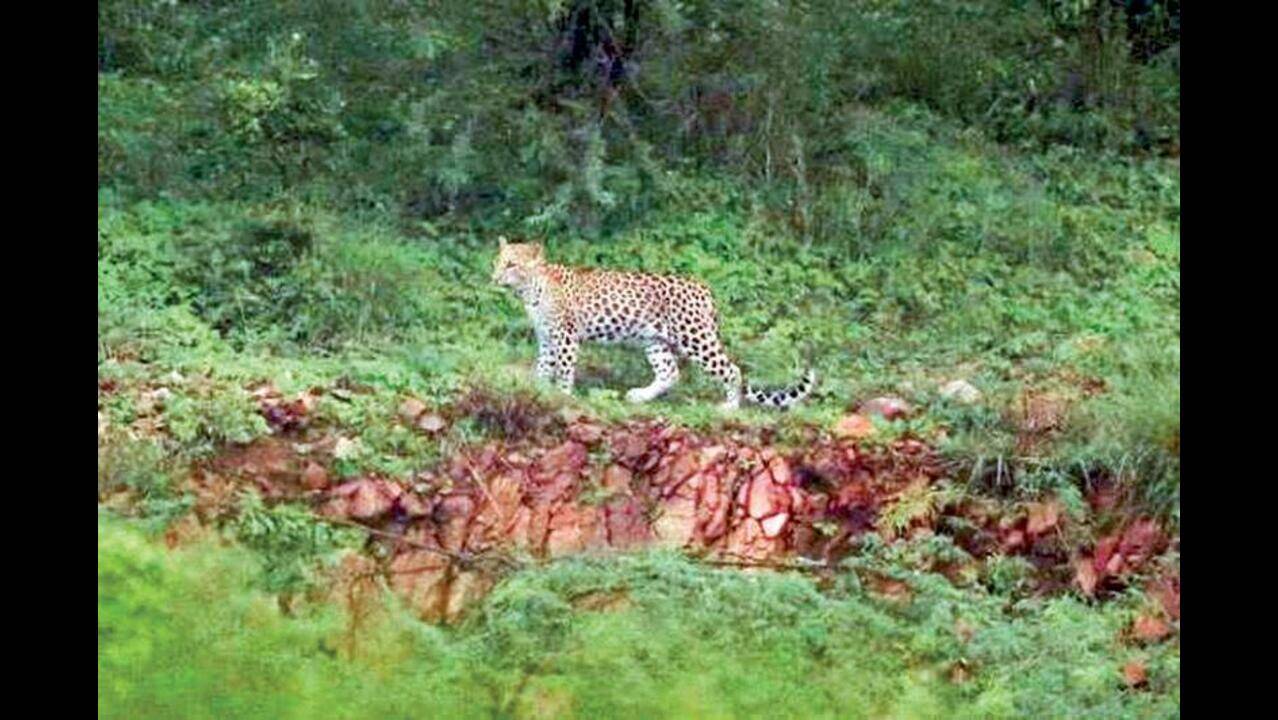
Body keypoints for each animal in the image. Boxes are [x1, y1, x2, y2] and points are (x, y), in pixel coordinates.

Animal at [491, 238, 816, 411]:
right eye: (497, 262)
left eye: (511, 264)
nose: (493, 277)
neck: (530, 291)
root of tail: (705, 290)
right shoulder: (547, 338)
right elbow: (543, 368)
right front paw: (538, 392)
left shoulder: (565, 337)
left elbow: (564, 370)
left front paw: (563, 395)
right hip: (655, 340)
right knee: (669, 372)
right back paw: (640, 396)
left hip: (695, 337)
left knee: (731, 369)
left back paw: (730, 407)